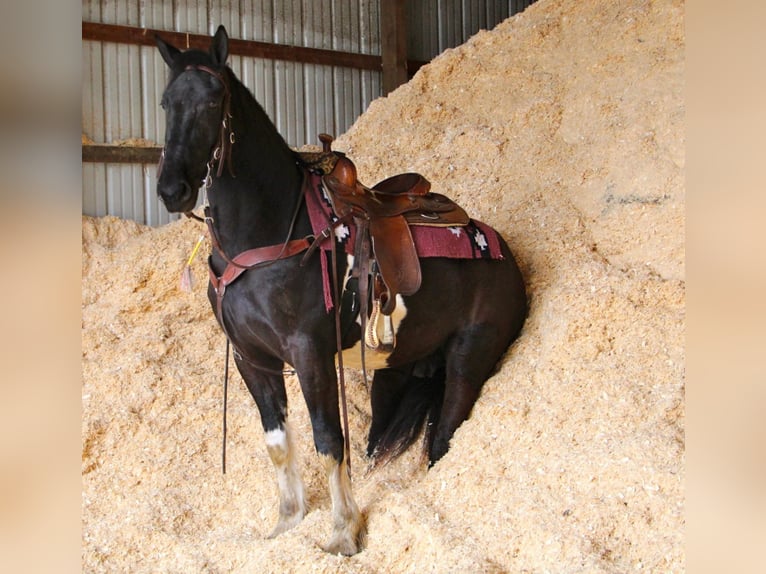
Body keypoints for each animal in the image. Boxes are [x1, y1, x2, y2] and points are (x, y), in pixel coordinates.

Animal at [156, 27, 528, 560]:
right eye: (166, 102)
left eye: (212, 100)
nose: (172, 190)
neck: (269, 235)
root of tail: (502, 250)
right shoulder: (253, 359)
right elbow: (279, 443)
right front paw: (287, 523)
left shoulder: (309, 354)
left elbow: (328, 439)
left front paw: (342, 533)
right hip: (399, 366)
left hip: (470, 356)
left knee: (446, 434)